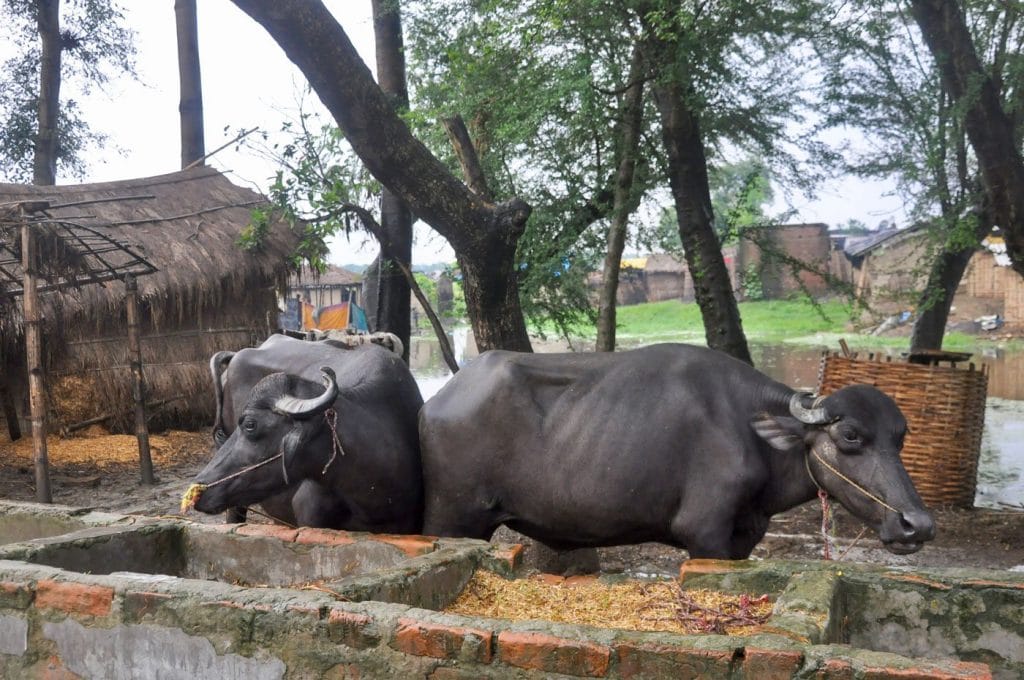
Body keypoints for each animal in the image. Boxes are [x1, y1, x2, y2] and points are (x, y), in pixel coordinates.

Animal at [419, 343, 935, 559]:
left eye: (901, 436)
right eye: (850, 435)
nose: (918, 524)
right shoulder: (703, 533)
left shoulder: (743, 538)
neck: (749, 431)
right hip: (451, 517)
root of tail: (434, 403)